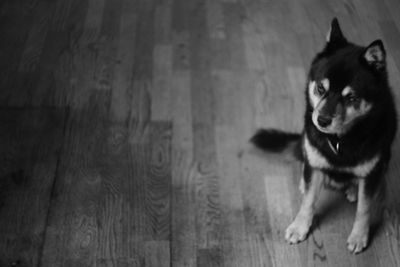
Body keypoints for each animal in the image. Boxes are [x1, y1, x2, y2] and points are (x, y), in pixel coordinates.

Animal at [250, 17, 396, 254]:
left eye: (352, 98)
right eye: (320, 88)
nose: (322, 121)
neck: (339, 141)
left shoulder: (370, 173)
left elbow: (364, 209)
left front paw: (359, 236)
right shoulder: (315, 162)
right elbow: (308, 201)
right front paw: (300, 227)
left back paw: (353, 189)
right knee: (305, 162)